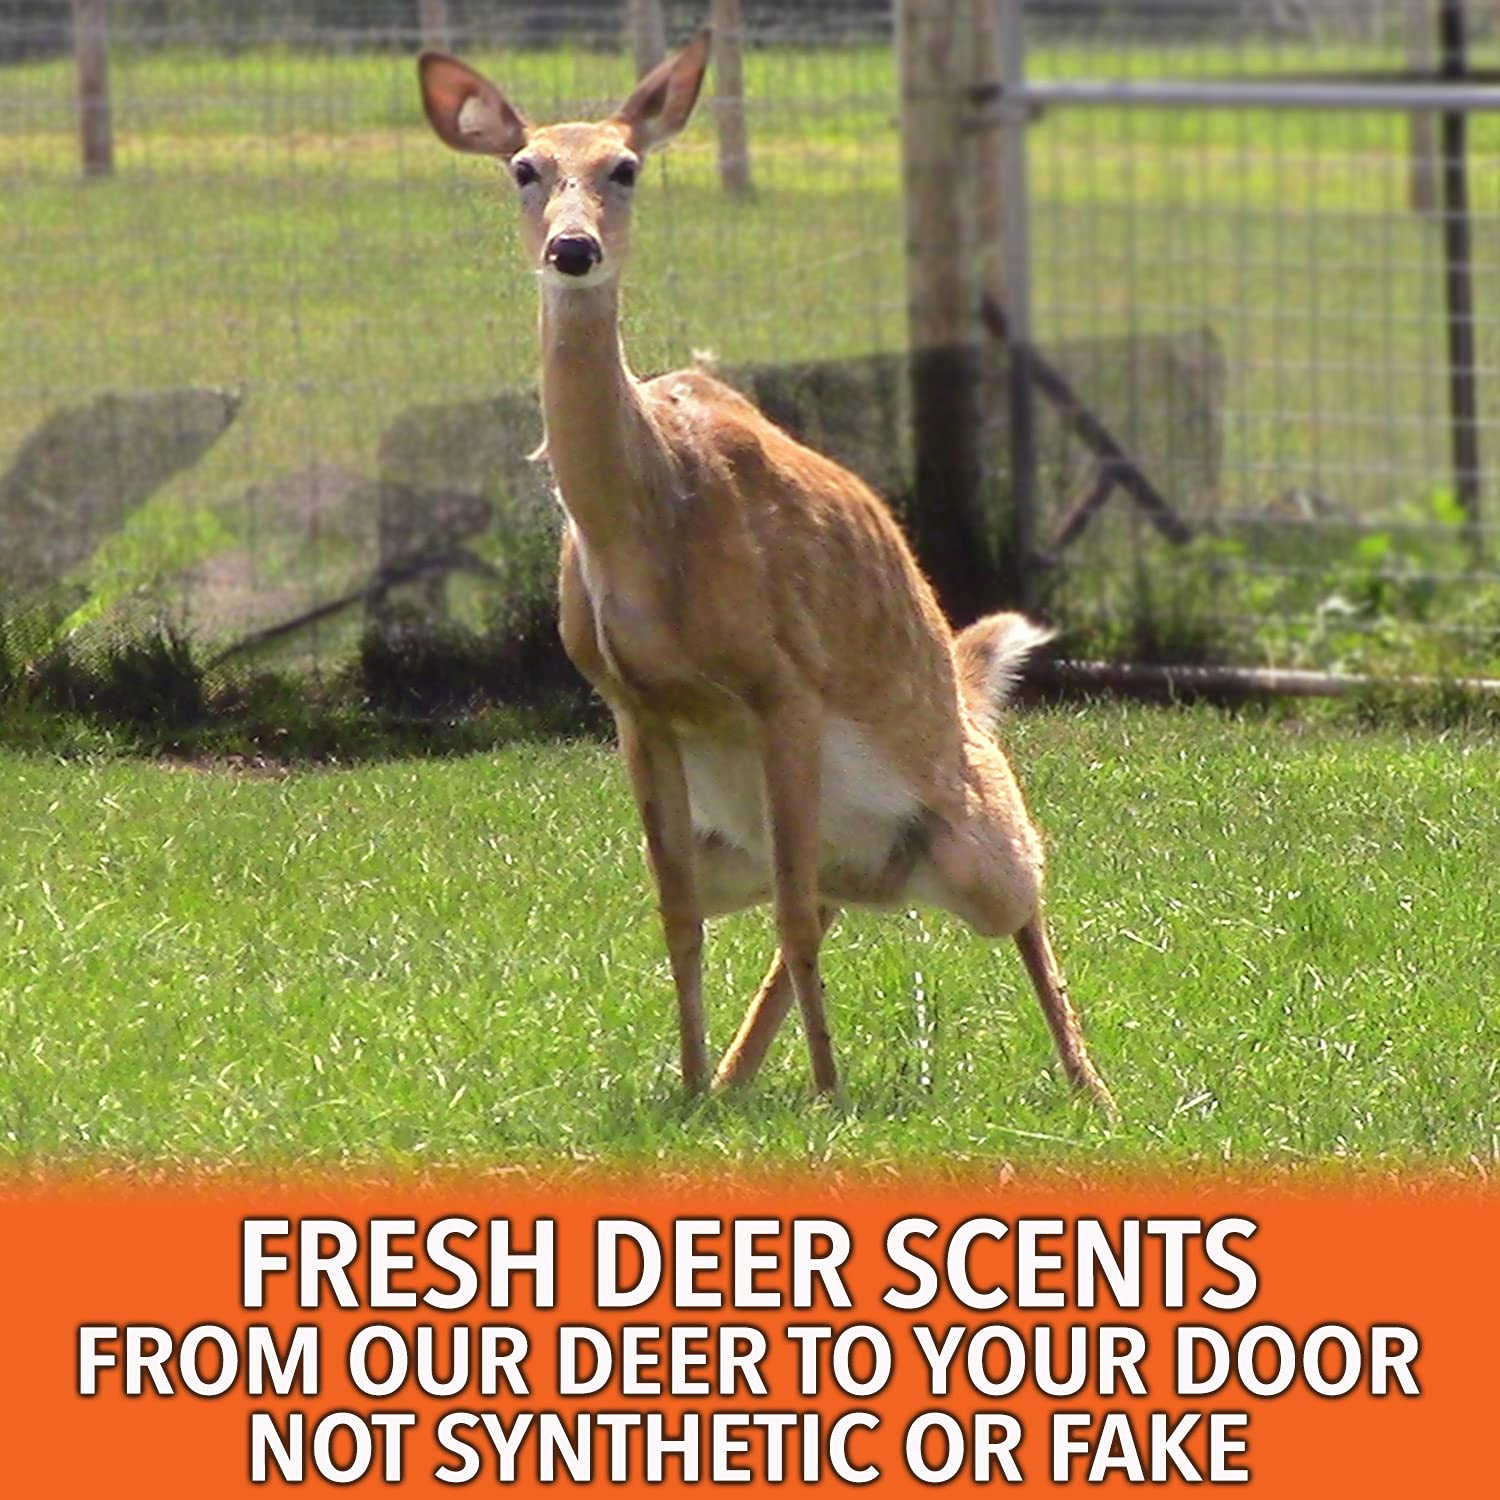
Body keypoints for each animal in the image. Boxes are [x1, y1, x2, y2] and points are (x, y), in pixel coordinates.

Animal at [416, 29, 1115, 1113]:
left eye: (626, 166)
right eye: (524, 168)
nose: (573, 250)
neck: (647, 528)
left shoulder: (783, 680)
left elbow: (787, 911)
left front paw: (827, 1096)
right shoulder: (632, 706)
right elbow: (677, 915)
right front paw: (691, 1085)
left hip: (970, 833)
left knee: (1019, 891)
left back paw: (1091, 1087)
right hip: (756, 845)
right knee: (817, 899)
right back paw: (739, 1077)